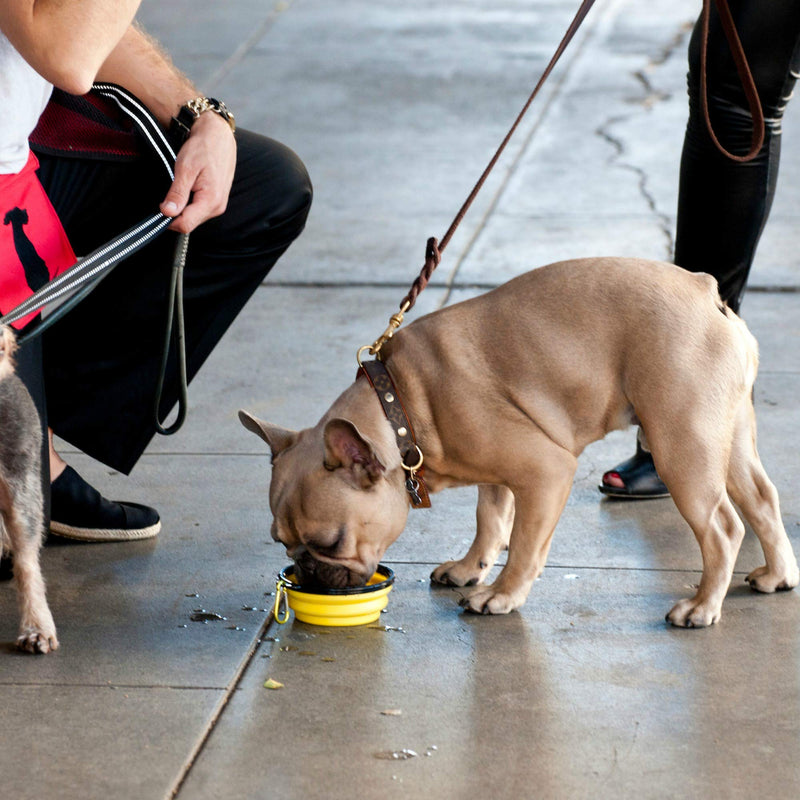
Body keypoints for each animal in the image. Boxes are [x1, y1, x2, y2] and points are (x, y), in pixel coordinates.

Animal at [242, 260, 800, 628]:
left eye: (331, 543)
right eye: (282, 542)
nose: (306, 569)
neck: (401, 405)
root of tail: (707, 294)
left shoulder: (545, 470)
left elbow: (527, 544)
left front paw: (503, 595)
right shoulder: (498, 475)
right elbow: (490, 520)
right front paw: (470, 569)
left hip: (681, 444)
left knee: (723, 528)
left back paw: (702, 607)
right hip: (727, 437)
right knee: (762, 499)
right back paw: (778, 575)